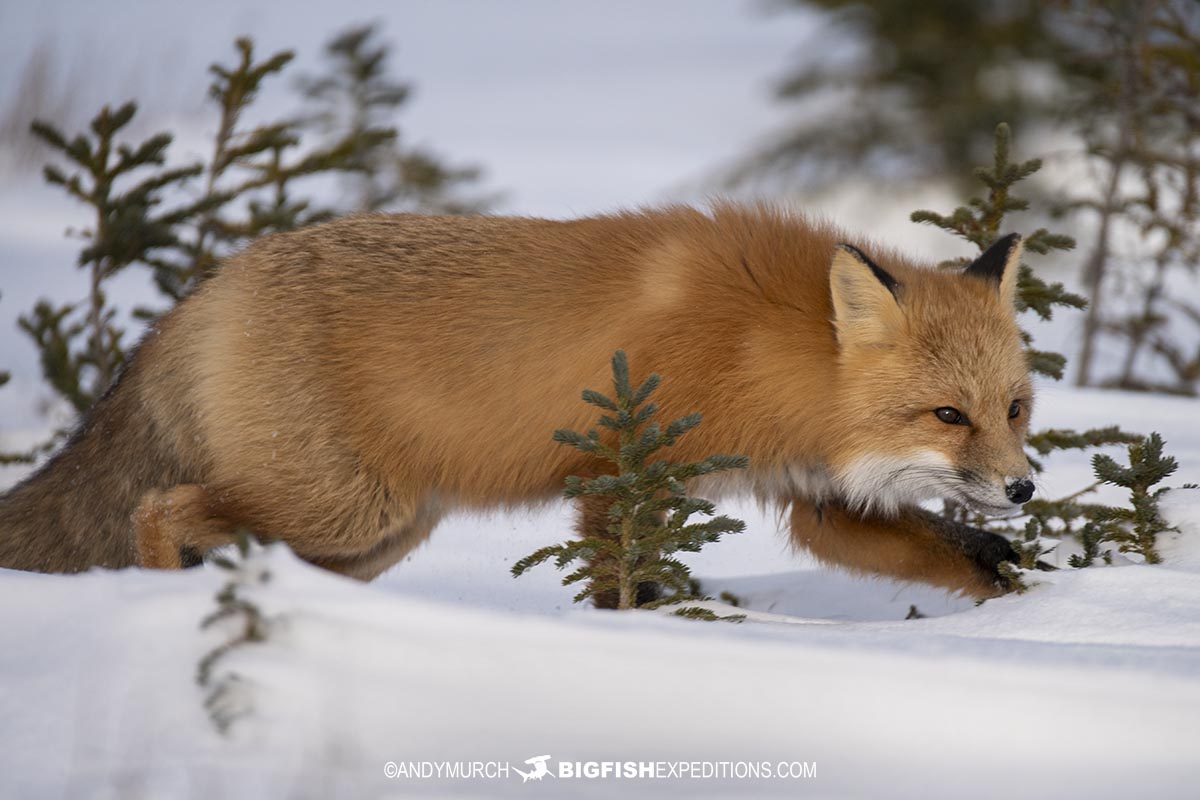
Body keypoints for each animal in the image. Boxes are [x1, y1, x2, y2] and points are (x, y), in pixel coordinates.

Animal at [0, 206, 1032, 599]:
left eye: (1015, 409)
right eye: (949, 416)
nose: (1025, 488)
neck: (762, 343)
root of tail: (207, 288)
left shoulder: (813, 495)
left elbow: (954, 554)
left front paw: (1029, 613)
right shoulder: (624, 471)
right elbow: (627, 585)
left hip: (367, 536)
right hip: (337, 509)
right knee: (157, 507)